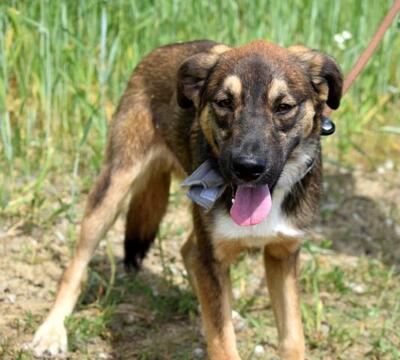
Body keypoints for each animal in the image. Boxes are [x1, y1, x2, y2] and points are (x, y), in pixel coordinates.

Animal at [32, 40, 344, 360]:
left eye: (284, 107)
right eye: (224, 102)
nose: (247, 167)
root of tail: (160, 50)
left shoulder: (283, 254)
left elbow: (293, 337)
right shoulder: (212, 255)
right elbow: (222, 343)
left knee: (189, 252)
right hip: (114, 187)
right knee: (76, 267)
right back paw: (51, 331)